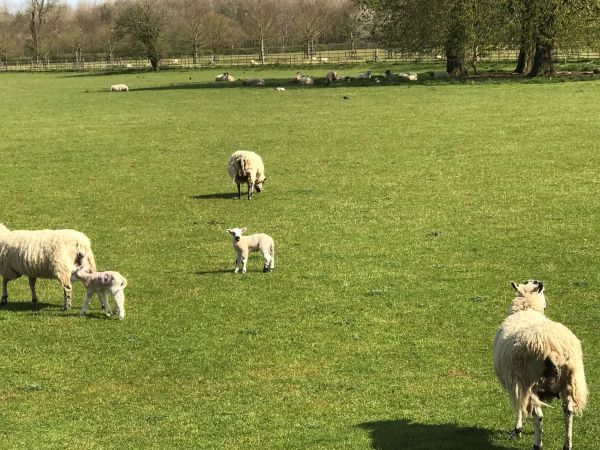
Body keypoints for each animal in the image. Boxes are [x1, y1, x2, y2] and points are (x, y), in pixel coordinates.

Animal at [494, 280, 588, 450]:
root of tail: (553, 349)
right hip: (570, 381)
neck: (526, 308)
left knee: (538, 416)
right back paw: (567, 444)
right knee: (568, 412)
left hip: (530, 382)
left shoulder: (515, 383)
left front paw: (517, 430)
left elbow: (519, 408)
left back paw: (537, 444)